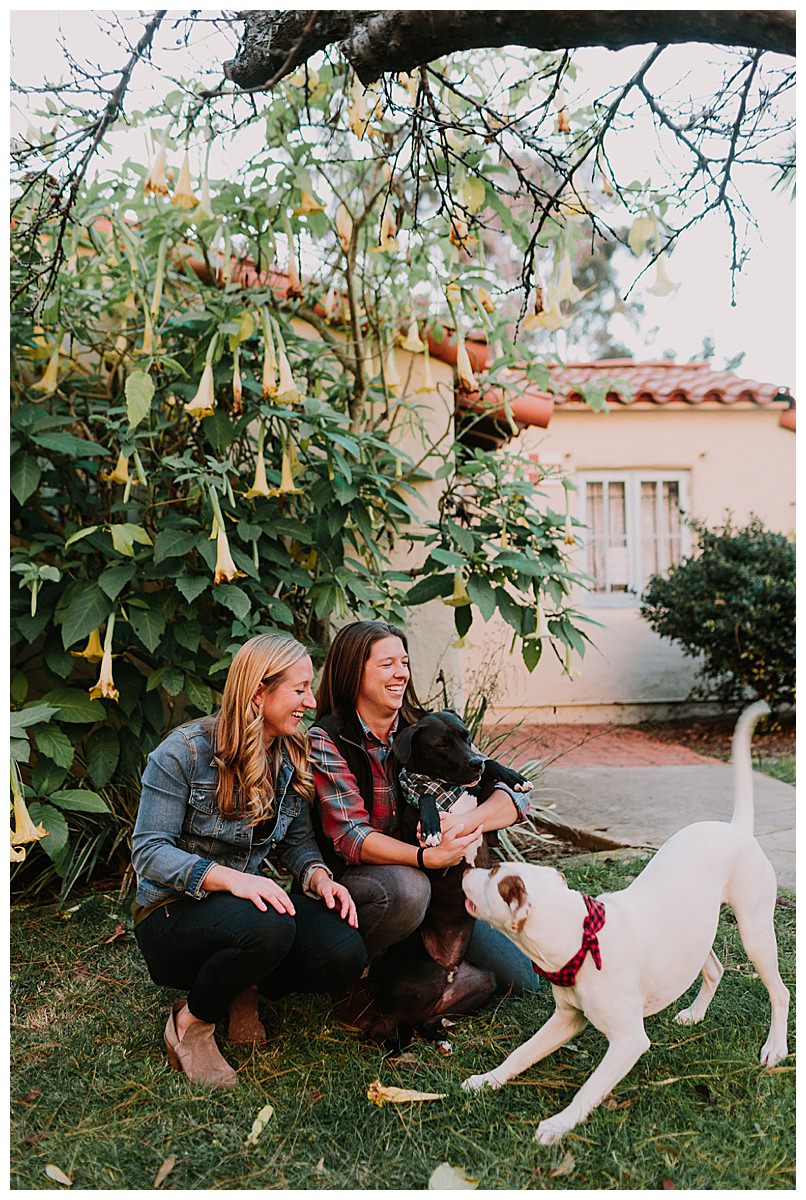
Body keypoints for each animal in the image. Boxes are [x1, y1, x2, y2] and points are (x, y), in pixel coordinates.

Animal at [350, 715, 532, 1046]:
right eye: (442, 745)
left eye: (466, 735)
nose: (474, 762)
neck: (450, 788)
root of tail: (449, 972)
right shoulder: (434, 861)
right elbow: (425, 794)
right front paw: (432, 825)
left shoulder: (487, 826)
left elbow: (493, 767)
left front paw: (514, 777)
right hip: (418, 986)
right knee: (382, 1028)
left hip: (482, 981)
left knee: (425, 1022)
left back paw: (441, 1035)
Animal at [462, 700, 791, 1142]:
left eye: (494, 875)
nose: (464, 870)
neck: (582, 940)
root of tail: (735, 829)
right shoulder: (564, 1020)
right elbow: (520, 1053)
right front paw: (487, 1080)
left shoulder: (628, 1041)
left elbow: (589, 1087)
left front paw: (559, 1124)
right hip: (693, 934)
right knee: (715, 968)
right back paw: (695, 1013)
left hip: (754, 932)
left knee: (780, 991)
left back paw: (775, 1048)